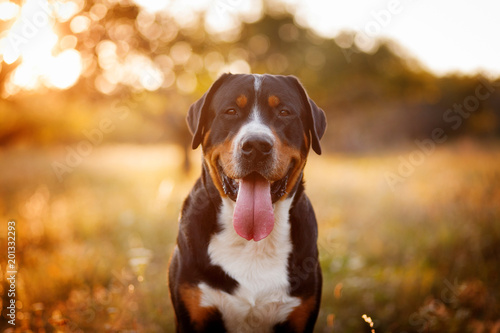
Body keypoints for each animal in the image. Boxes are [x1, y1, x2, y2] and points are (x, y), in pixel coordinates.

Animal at [170, 73, 326, 332]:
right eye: (231, 111)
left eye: (284, 112)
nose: (256, 145)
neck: (251, 243)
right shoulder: (193, 311)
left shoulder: (300, 315)